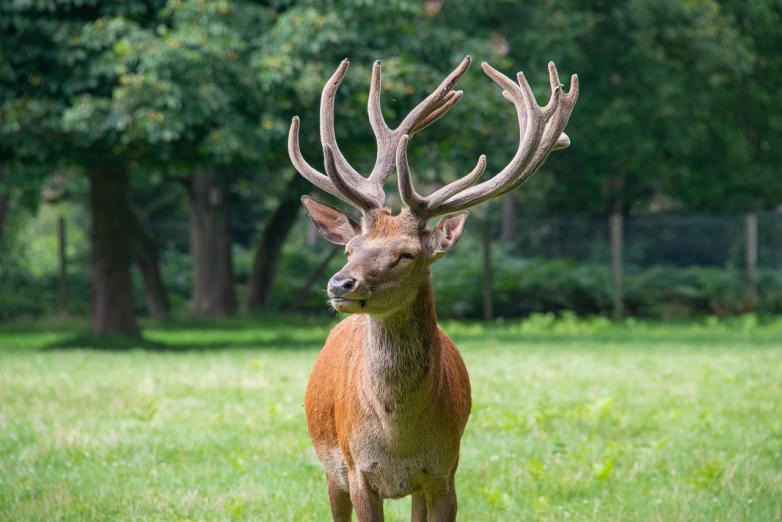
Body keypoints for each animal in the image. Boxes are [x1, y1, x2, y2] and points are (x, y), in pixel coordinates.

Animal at [290, 54, 580, 516]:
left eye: (408, 253)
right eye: (350, 247)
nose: (340, 283)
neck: (398, 438)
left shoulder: (444, 472)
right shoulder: (357, 471)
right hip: (330, 470)